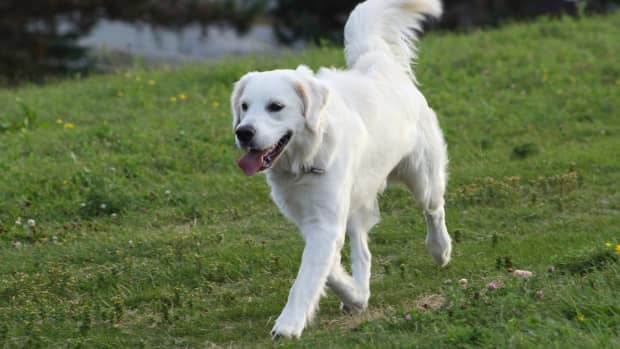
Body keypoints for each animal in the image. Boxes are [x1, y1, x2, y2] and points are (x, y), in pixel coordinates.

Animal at [231, 0, 450, 338]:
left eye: (275, 107)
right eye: (244, 106)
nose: (243, 132)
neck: (304, 161)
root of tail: (377, 61)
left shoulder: (325, 221)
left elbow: (307, 277)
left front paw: (289, 324)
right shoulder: (311, 219)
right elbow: (328, 267)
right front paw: (352, 294)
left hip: (422, 177)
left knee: (433, 210)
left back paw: (440, 250)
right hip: (357, 201)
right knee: (363, 250)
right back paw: (357, 295)